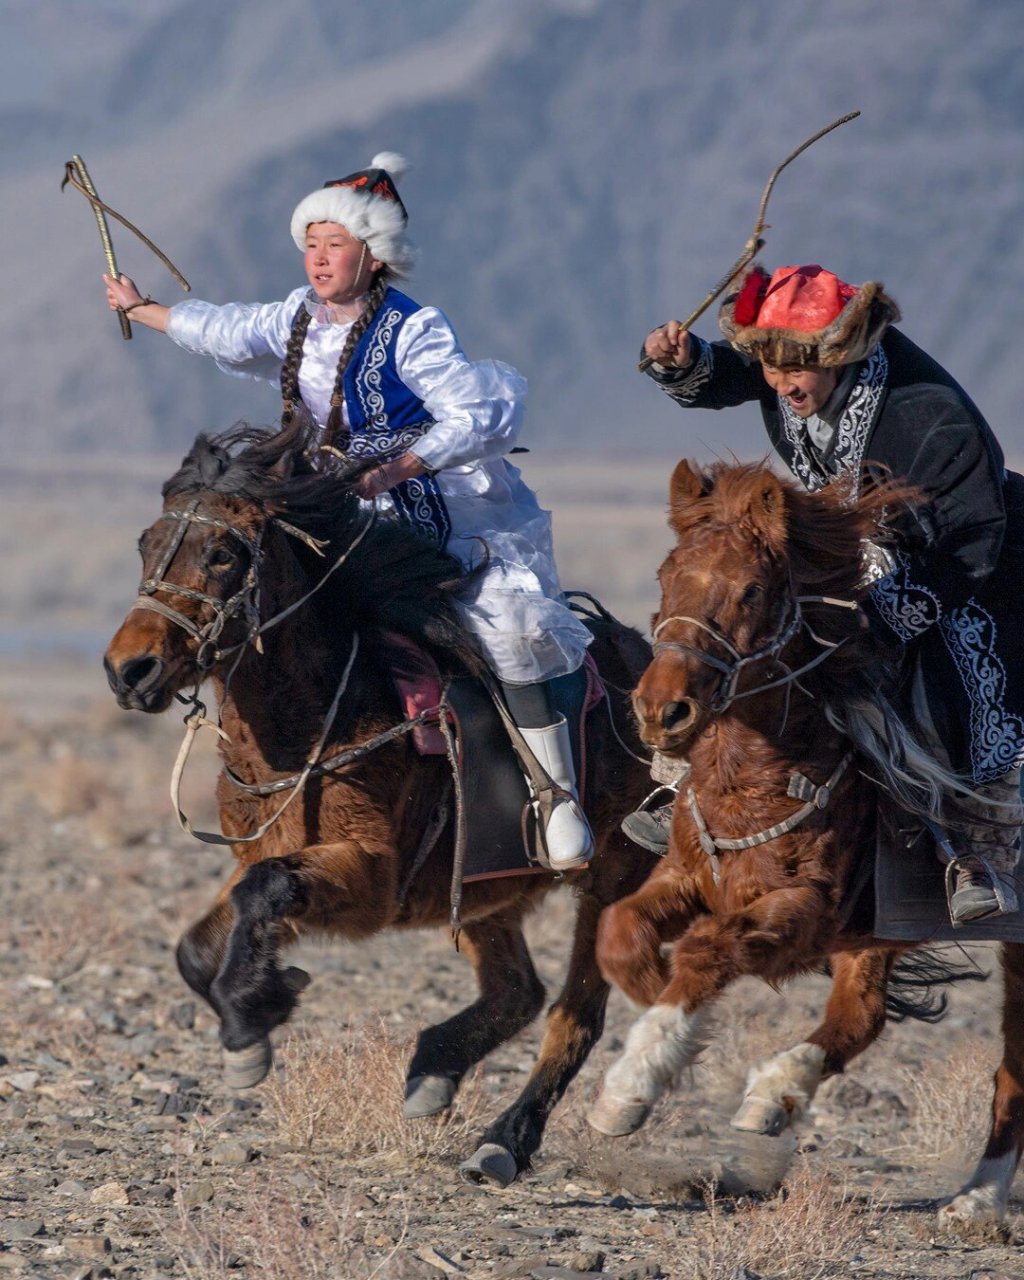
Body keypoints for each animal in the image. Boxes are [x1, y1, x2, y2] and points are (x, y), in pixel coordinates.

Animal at [101, 422, 655, 1187]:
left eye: (220, 554)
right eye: (147, 544)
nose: (129, 670)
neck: (311, 726)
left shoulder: (372, 877)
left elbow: (261, 894)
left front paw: (250, 1018)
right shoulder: (264, 854)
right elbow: (200, 944)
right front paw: (263, 1000)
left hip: (610, 879)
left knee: (574, 1014)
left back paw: (504, 1141)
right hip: (484, 886)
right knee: (517, 990)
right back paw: (435, 1068)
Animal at [588, 460, 1024, 1218]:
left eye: (752, 590)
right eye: (666, 575)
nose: (661, 710)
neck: (761, 776)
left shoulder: (805, 910)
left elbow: (706, 951)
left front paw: (636, 1079)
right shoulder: (690, 878)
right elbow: (620, 930)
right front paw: (650, 998)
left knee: (1014, 1065)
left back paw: (978, 1200)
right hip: (872, 936)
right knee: (863, 1013)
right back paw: (774, 1096)